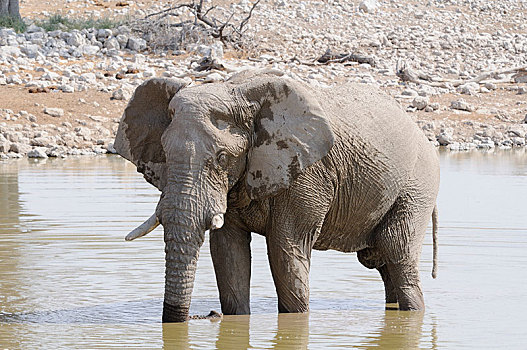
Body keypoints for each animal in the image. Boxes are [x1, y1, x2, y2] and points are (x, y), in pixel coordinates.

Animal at [114, 69, 442, 322]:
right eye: (165, 153)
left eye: (222, 158)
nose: (202, 316)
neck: (238, 93)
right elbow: (228, 253)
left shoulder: (306, 176)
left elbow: (285, 251)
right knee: (384, 263)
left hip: (418, 185)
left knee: (397, 252)